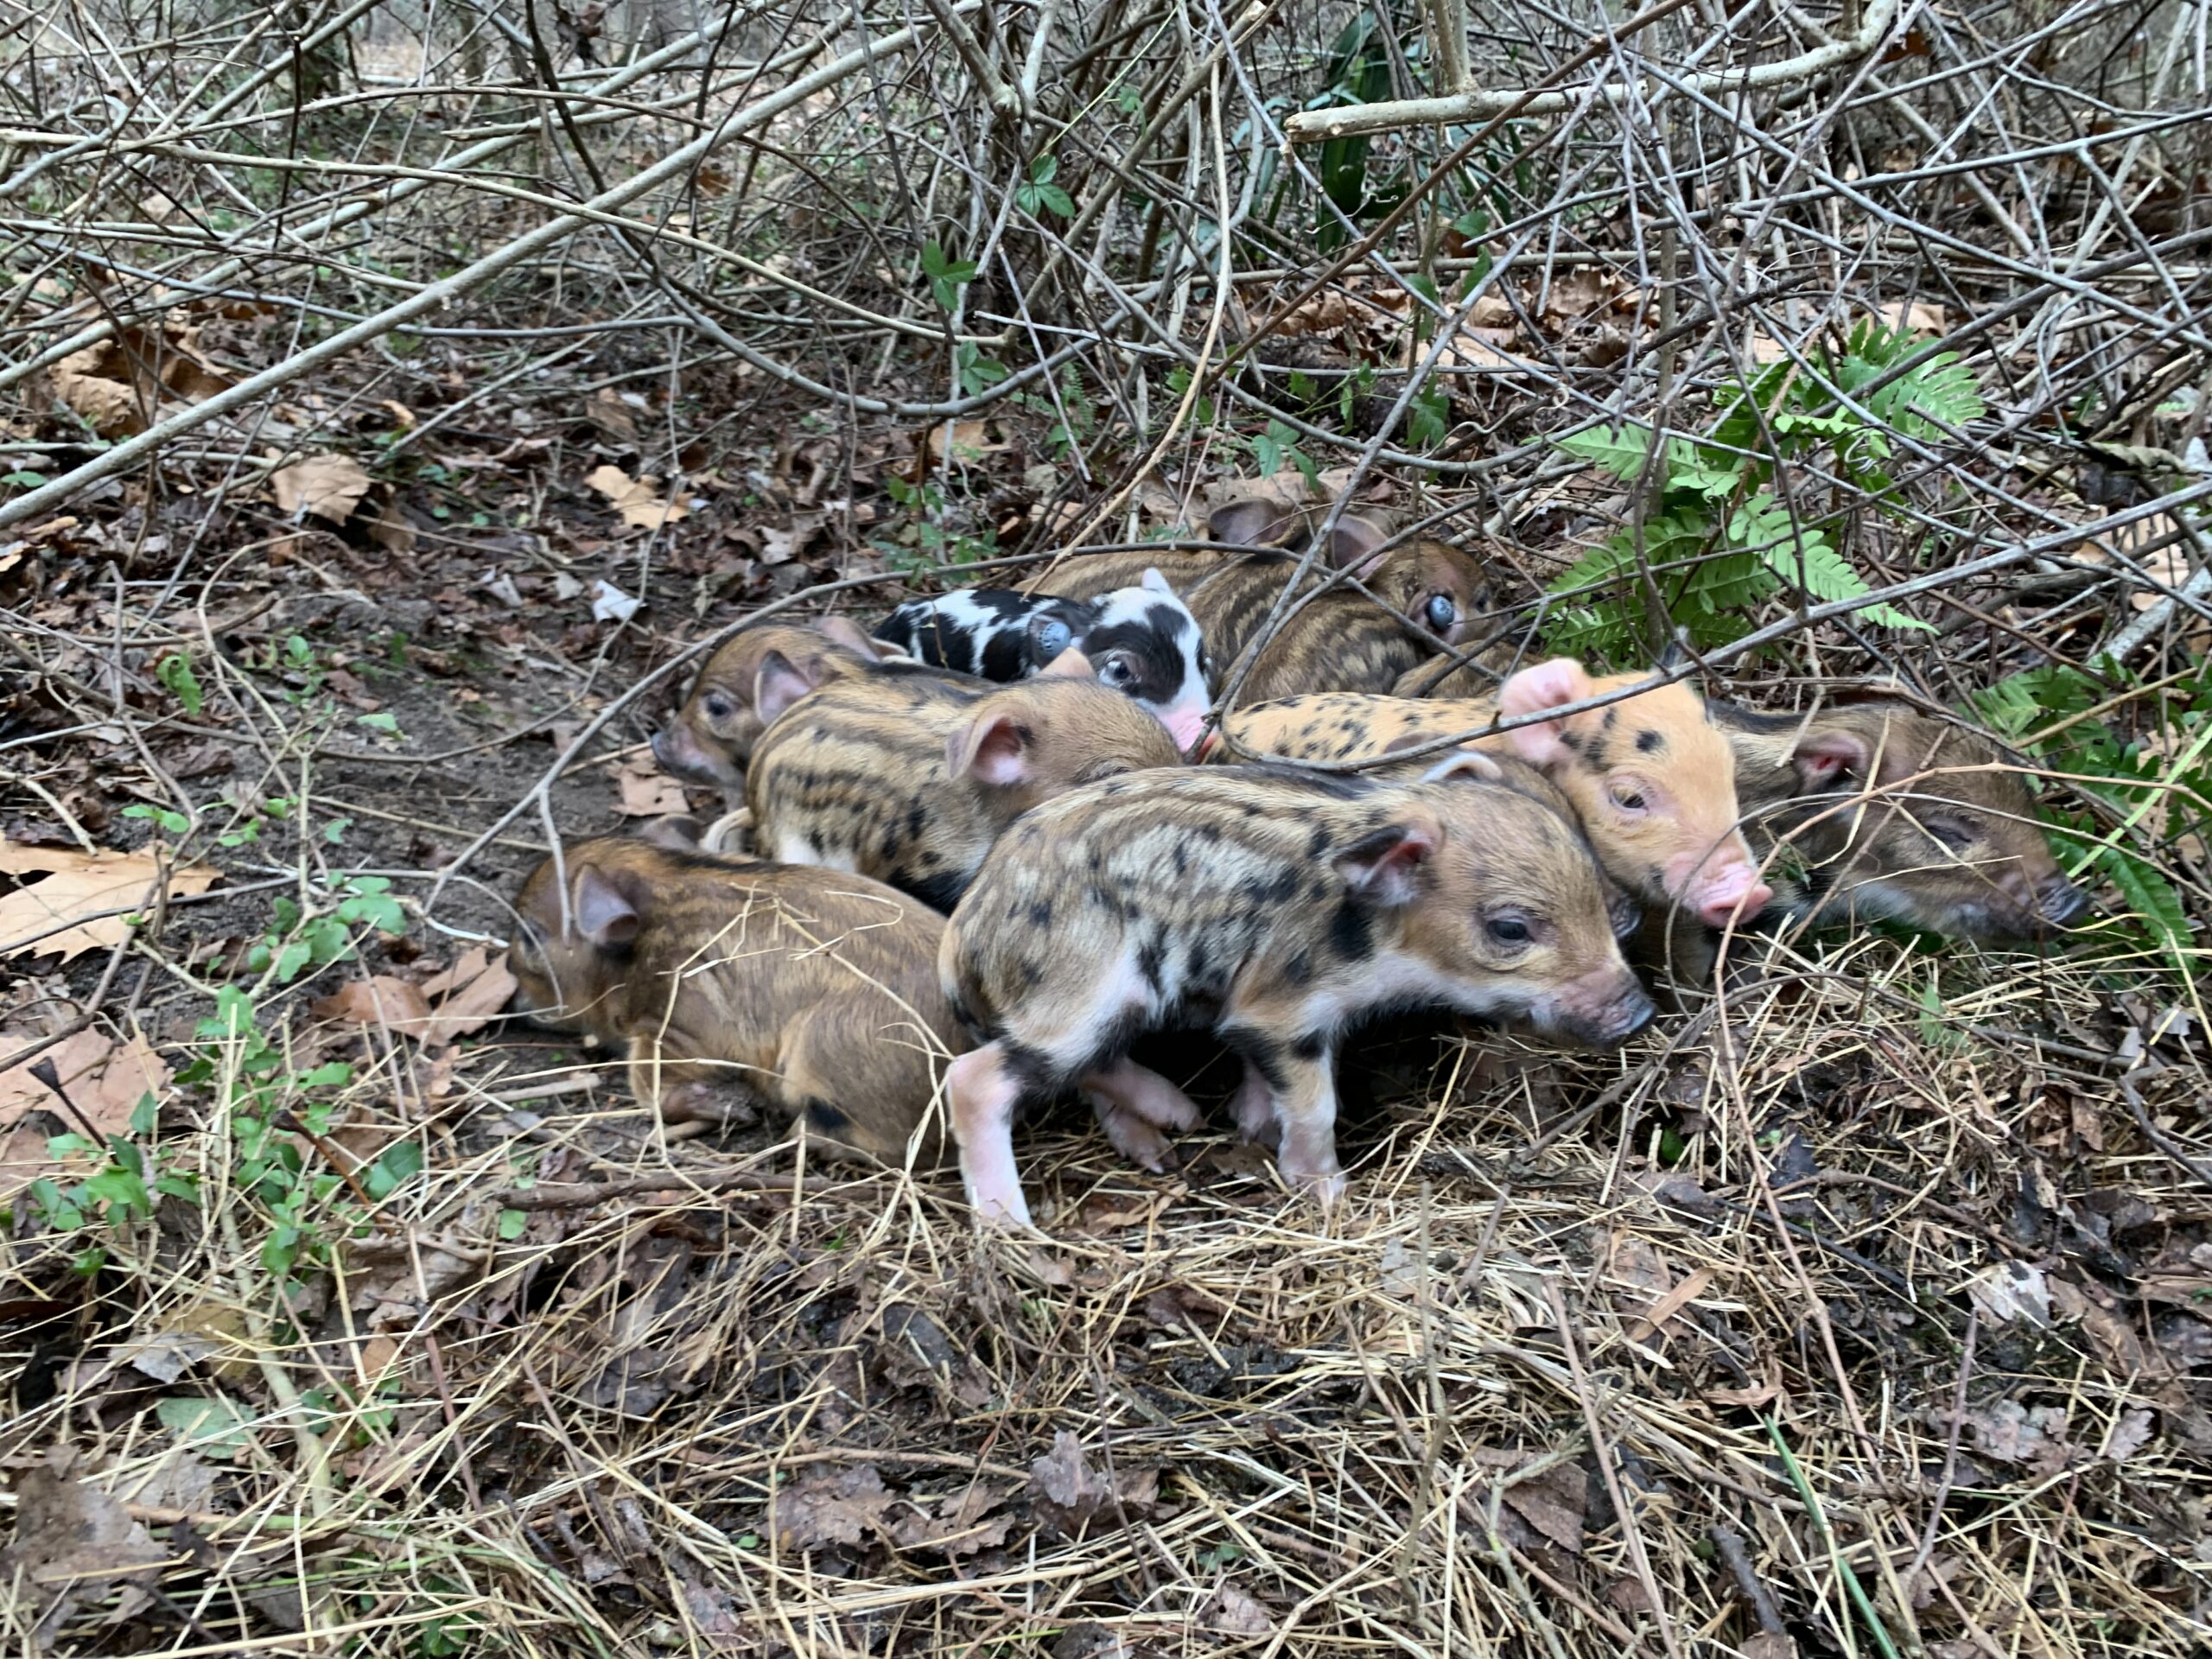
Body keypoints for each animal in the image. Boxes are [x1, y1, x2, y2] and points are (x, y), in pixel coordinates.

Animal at [508, 835, 964, 1164]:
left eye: (531, 934)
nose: (511, 1002)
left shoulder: (679, 1028)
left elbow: (649, 1087)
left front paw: (735, 1109)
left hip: (819, 1054)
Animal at [939, 758, 1654, 1226]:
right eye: (1510, 928)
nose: (1642, 1011)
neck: (1377, 935)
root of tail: (966, 932)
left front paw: (1248, 1123)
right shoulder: (1280, 1007)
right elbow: (1314, 1104)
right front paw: (1330, 1193)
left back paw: (1171, 1134)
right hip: (1080, 992)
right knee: (973, 1079)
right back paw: (1013, 1228)